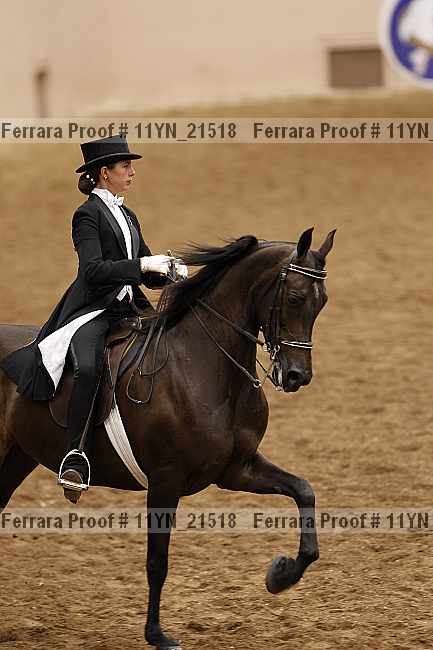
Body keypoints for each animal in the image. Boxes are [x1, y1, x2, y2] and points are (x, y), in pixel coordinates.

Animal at [0, 226, 335, 650]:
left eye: (323, 302)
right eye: (294, 298)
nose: (296, 376)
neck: (204, 367)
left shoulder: (235, 469)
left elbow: (303, 491)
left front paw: (281, 574)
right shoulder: (166, 479)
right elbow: (157, 562)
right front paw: (157, 635)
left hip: (17, 457)